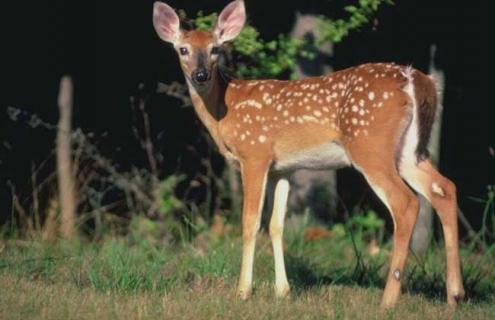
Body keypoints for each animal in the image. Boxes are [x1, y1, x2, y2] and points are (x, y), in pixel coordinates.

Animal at [151, 0, 464, 308]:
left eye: (215, 48)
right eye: (183, 49)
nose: (200, 75)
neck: (225, 110)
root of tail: (416, 80)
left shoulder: (255, 154)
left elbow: (250, 222)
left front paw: (242, 291)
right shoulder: (282, 168)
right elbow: (276, 225)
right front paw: (283, 291)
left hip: (370, 145)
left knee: (406, 202)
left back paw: (388, 299)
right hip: (410, 151)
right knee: (444, 188)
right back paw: (454, 294)